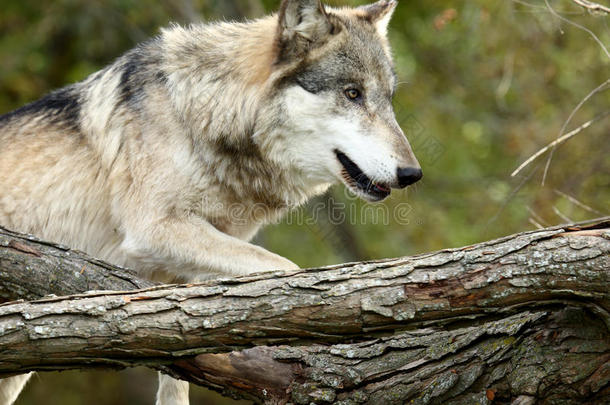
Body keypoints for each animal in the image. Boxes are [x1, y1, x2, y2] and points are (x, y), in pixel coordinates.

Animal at [0, 0, 418, 402]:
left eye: (388, 100)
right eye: (353, 93)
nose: (412, 174)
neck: (201, 114)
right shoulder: (154, 229)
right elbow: (286, 270)